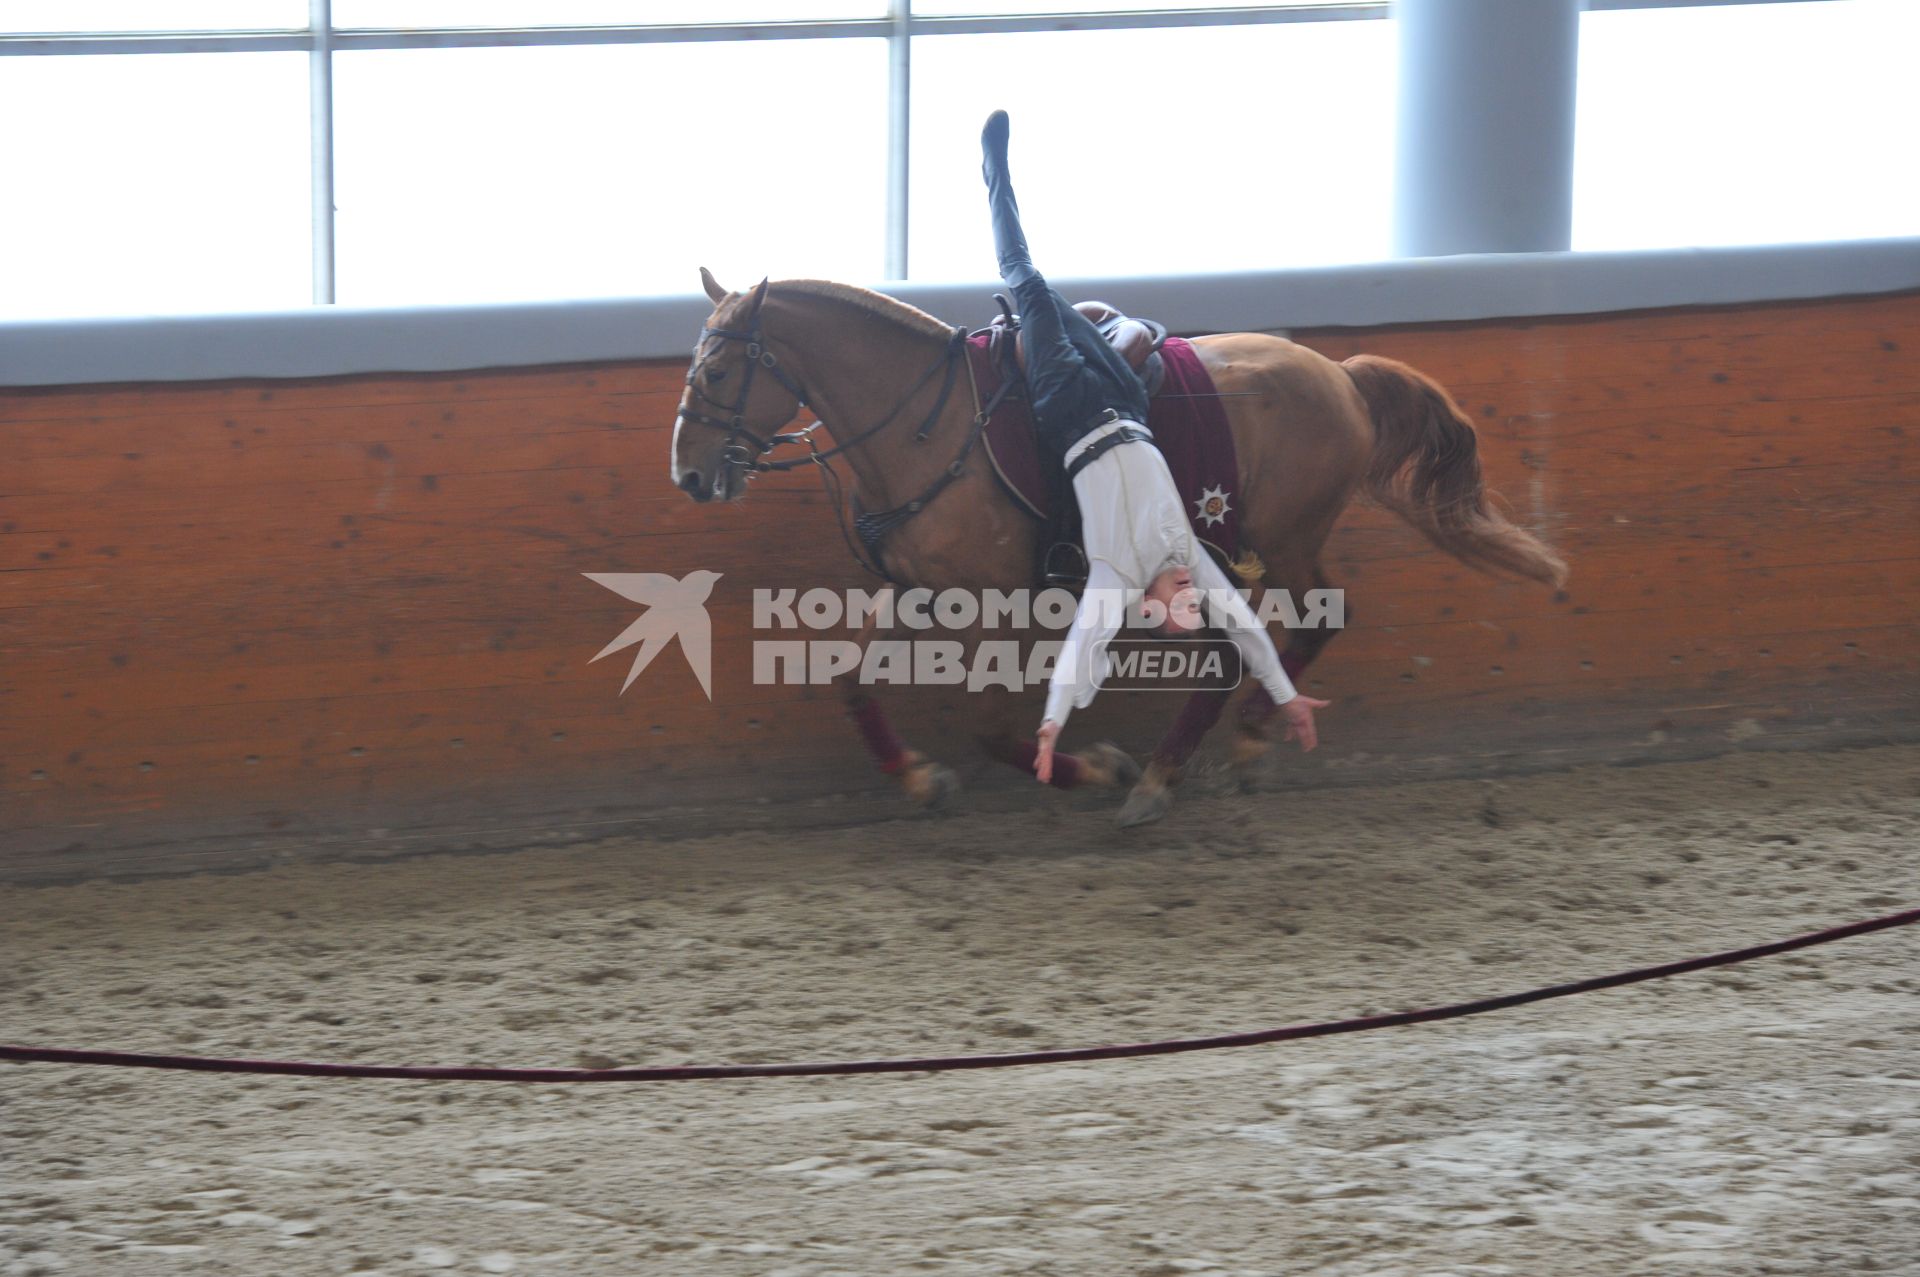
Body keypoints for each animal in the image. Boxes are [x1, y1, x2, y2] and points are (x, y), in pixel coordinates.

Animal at [668, 270, 1566, 825]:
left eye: (715, 373)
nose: (689, 473)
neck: (930, 426)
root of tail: (1341, 376)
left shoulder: (997, 603)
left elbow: (990, 724)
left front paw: (1098, 768)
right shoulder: (915, 587)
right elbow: (853, 682)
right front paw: (920, 778)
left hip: (1282, 536)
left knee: (1312, 622)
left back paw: (1191, 760)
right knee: (1250, 646)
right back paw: (1212, 751)